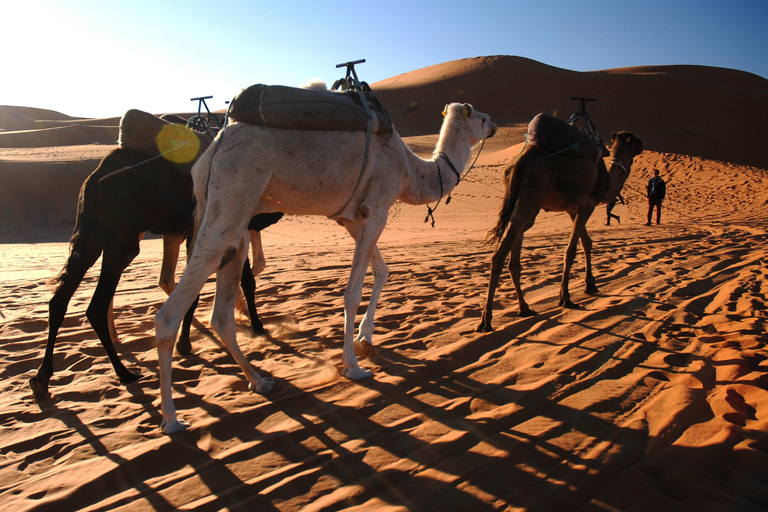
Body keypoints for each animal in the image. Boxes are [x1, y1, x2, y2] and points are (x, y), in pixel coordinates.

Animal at [29, 143, 284, 400]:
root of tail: (93, 179)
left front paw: (188, 341)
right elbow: (244, 281)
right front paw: (255, 327)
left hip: (90, 237)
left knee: (59, 300)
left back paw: (42, 378)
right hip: (121, 241)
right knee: (96, 306)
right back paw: (124, 373)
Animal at [154, 102, 498, 434]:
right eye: (479, 117)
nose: (494, 124)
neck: (412, 172)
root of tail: (210, 153)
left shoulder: (350, 217)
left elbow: (382, 270)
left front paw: (365, 338)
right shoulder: (377, 208)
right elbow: (352, 293)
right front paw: (354, 367)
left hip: (233, 215)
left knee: (222, 310)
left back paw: (259, 381)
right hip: (235, 188)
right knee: (171, 312)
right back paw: (172, 419)